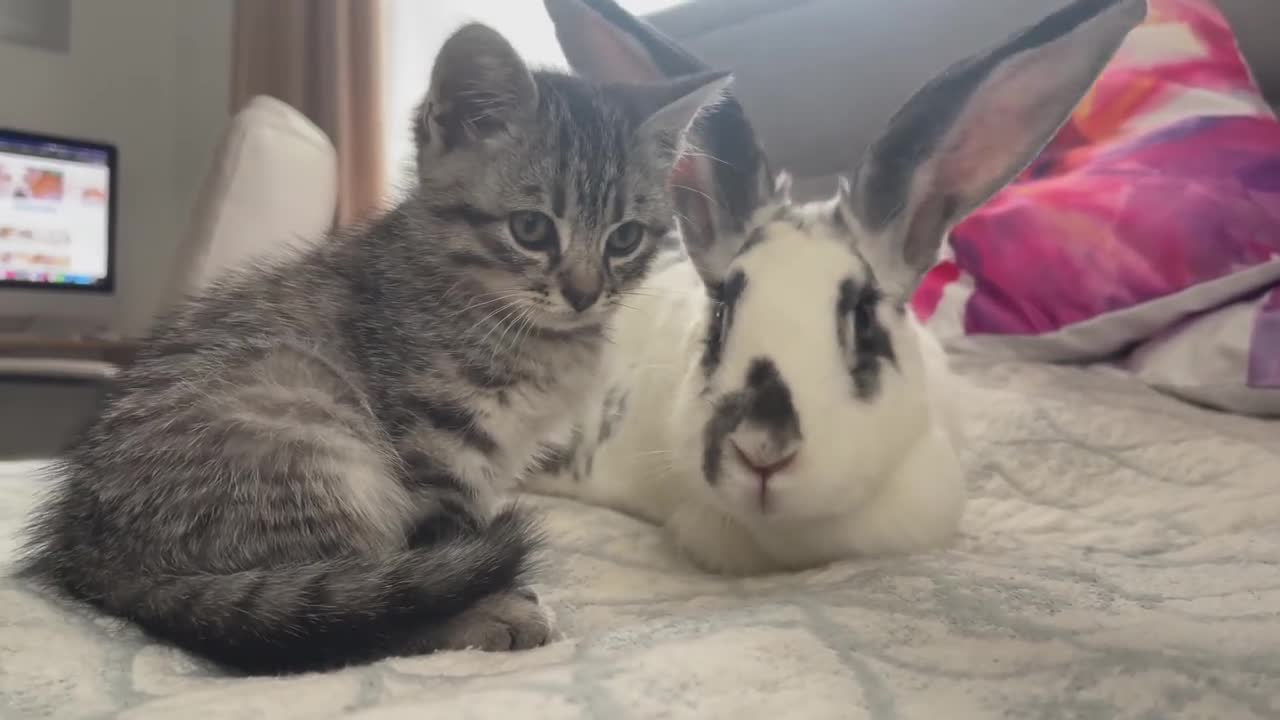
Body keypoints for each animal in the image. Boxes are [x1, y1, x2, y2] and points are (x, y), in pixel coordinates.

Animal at [17, 23, 732, 671]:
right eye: (531, 229)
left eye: (624, 238)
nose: (584, 295)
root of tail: (91, 551)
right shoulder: (437, 444)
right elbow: (440, 553)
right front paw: (490, 602)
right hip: (313, 437)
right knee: (338, 615)